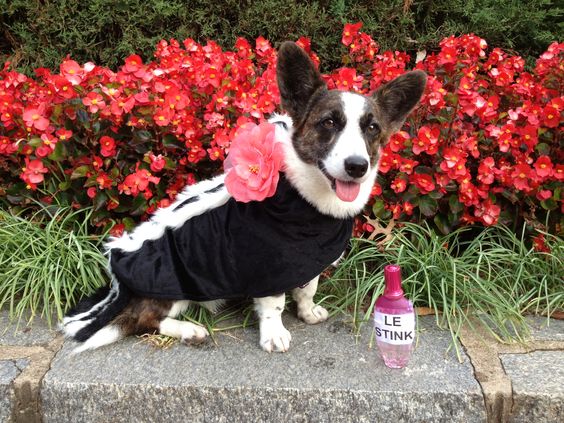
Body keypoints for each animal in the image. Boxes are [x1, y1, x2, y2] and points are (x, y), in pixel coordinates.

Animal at [61, 41, 426, 352]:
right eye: (329, 123)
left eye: (372, 128)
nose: (357, 166)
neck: (307, 199)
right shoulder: (268, 266)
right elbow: (274, 304)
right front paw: (275, 334)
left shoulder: (308, 260)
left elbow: (307, 289)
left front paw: (308, 312)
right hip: (171, 288)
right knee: (145, 320)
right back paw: (189, 330)